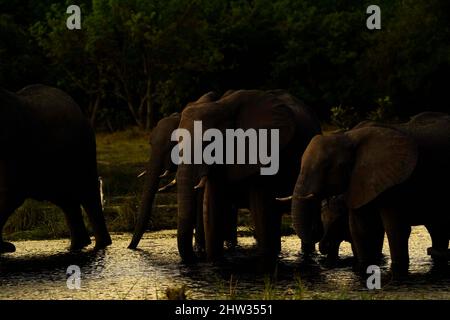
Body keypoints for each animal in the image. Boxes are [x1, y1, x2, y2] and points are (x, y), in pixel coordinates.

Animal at [0, 84, 111, 252]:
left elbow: (9, 194)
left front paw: (4, 248)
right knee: (67, 200)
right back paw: (78, 245)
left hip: (82, 149)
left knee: (87, 193)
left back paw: (100, 245)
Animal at [175, 89, 320, 262]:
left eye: (209, 142)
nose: (196, 258)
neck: (223, 106)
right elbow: (212, 206)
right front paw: (215, 261)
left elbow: (260, 206)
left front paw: (266, 258)